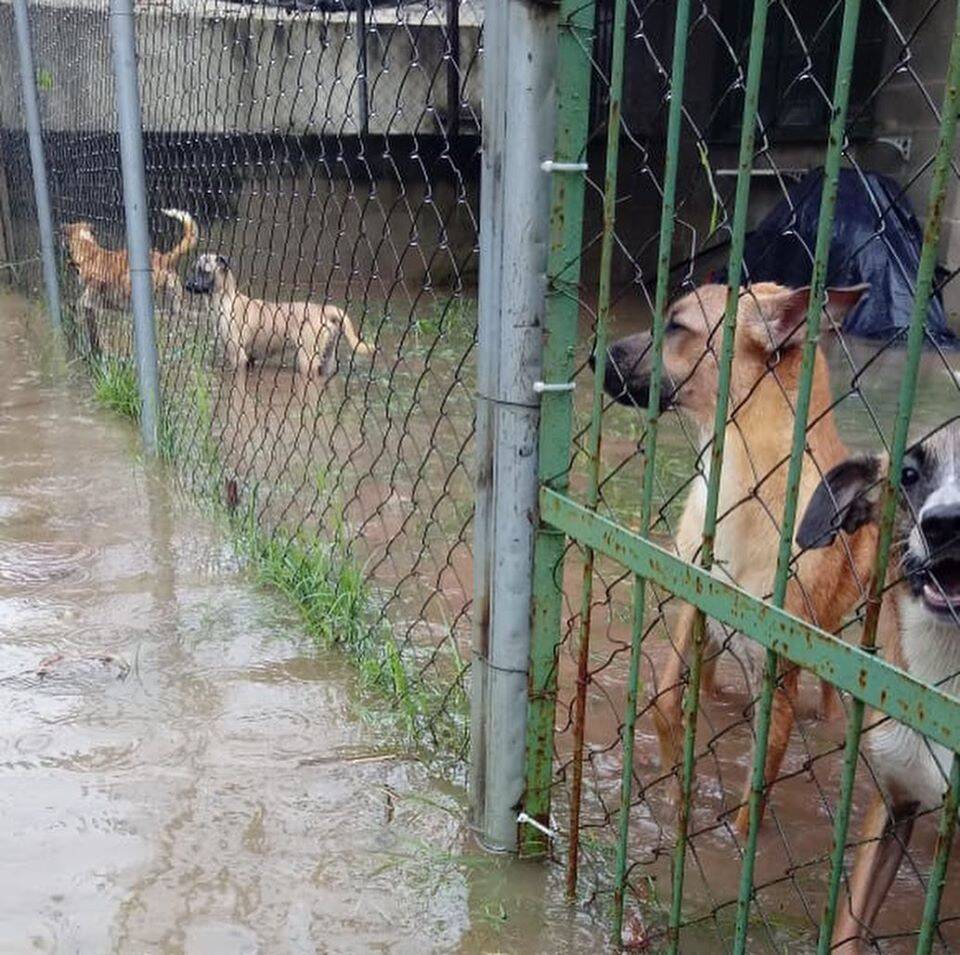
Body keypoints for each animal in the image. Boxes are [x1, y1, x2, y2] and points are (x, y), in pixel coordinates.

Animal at [184, 254, 372, 378]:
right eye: (192, 269)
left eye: (205, 271)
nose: (188, 284)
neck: (225, 299)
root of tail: (324, 309)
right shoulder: (249, 359)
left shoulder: (237, 356)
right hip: (326, 360)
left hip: (307, 358)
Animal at [596, 282, 880, 836]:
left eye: (678, 325)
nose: (596, 358)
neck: (742, 483)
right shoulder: (691, 603)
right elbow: (665, 698)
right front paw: (673, 789)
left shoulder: (778, 669)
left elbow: (757, 789)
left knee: (827, 696)